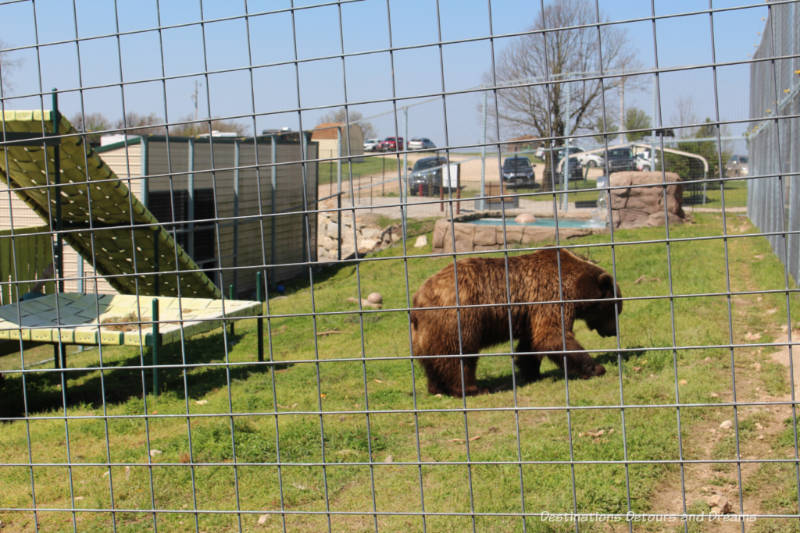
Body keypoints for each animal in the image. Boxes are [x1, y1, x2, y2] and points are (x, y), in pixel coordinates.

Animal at [410, 248, 620, 394]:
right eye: (615, 309)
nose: (613, 331)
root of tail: (417, 299)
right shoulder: (550, 297)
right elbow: (553, 336)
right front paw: (596, 368)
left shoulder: (531, 312)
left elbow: (531, 343)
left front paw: (532, 373)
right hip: (459, 318)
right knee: (460, 356)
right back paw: (471, 389)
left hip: (425, 333)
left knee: (433, 360)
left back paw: (436, 387)